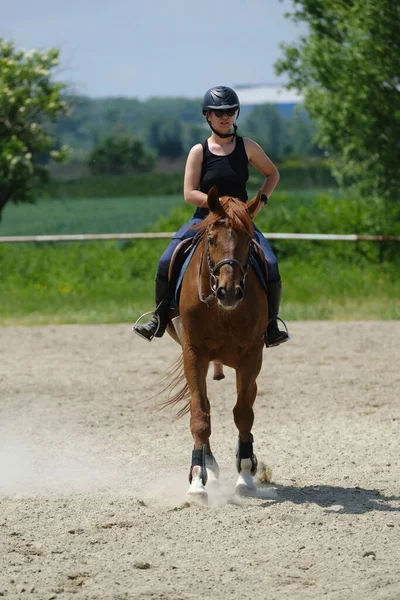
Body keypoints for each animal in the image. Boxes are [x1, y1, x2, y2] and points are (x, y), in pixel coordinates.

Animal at [166, 185, 268, 500]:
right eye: (211, 239)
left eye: (248, 241)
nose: (229, 292)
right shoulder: (193, 353)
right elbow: (200, 414)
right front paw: (198, 479)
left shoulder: (251, 356)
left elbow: (244, 414)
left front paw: (245, 473)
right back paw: (208, 466)